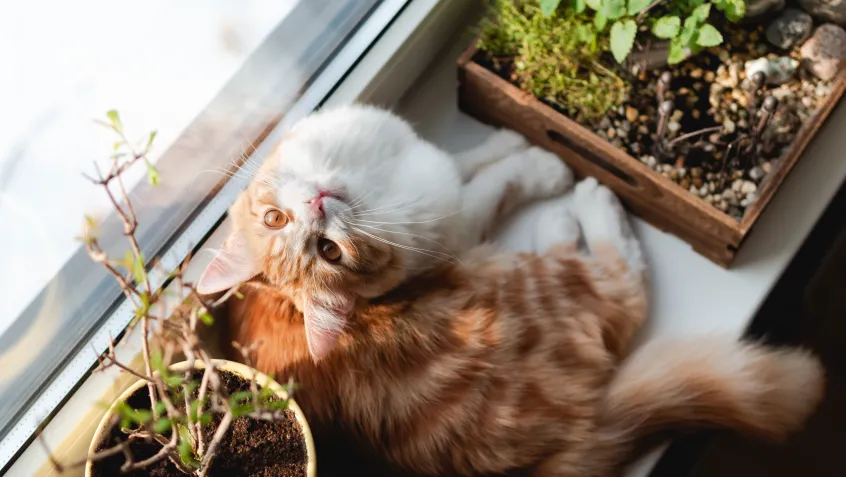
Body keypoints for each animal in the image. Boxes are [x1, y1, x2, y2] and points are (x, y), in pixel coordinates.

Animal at [197, 106, 820, 474]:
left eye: (322, 247)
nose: (317, 202)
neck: (373, 181)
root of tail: (578, 437)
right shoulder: (456, 226)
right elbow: (497, 183)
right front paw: (545, 166)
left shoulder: (428, 164)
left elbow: (468, 158)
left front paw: (507, 140)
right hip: (527, 284)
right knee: (622, 287)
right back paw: (578, 208)